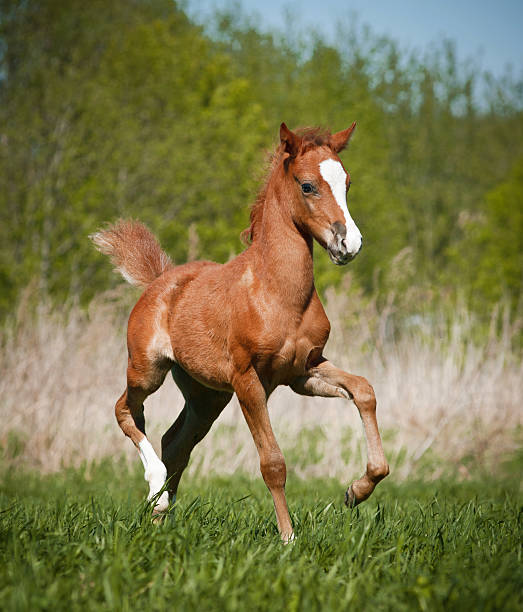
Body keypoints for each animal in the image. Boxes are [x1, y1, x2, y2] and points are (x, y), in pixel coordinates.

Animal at [92, 122, 388, 544]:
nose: (349, 244)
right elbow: (273, 463)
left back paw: (161, 514)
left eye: (346, 182)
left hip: (207, 396)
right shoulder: (248, 379)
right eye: (308, 185)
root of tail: (159, 280)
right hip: (147, 370)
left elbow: (364, 391)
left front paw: (355, 491)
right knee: (126, 410)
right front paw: (288, 539)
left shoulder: (303, 371)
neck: (278, 294)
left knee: (175, 442)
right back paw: (156, 492)